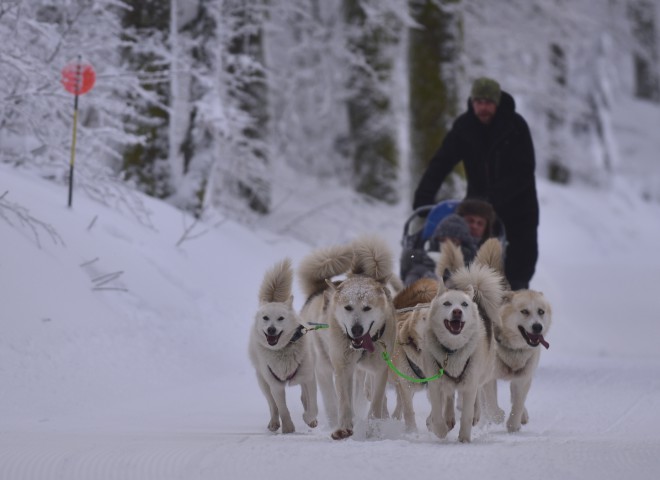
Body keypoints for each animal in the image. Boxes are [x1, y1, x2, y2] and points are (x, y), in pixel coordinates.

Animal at [249, 258, 318, 436]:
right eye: (266, 318)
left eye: (281, 318)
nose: (271, 330)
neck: (282, 351)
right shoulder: (276, 385)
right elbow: (282, 408)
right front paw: (288, 429)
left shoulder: (309, 378)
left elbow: (313, 406)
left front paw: (309, 419)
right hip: (263, 381)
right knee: (272, 406)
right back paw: (274, 423)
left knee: (304, 398)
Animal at [300, 234, 398, 440]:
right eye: (348, 307)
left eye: (367, 308)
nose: (356, 329)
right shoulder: (343, 367)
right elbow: (344, 400)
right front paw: (344, 427)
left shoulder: (380, 370)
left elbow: (376, 402)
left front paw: (372, 428)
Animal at [422, 258, 506, 442]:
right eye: (447, 303)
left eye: (464, 304)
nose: (457, 311)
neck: (452, 350)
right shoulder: (435, 383)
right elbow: (437, 413)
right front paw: (440, 429)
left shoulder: (470, 382)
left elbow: (467, 413)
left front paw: (464, 438)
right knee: (449, 394)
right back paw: (448, 418)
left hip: (482, 372)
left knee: (477, 393)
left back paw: (475, 414)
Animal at [482, 288, 556, 436]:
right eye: (525, 311)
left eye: (541, 311)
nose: (538, 327)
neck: (515, 350)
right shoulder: (489, 379)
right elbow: (492, 405)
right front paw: (498, 416)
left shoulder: (523, 378)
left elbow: (518, 403)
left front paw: (513, 425)